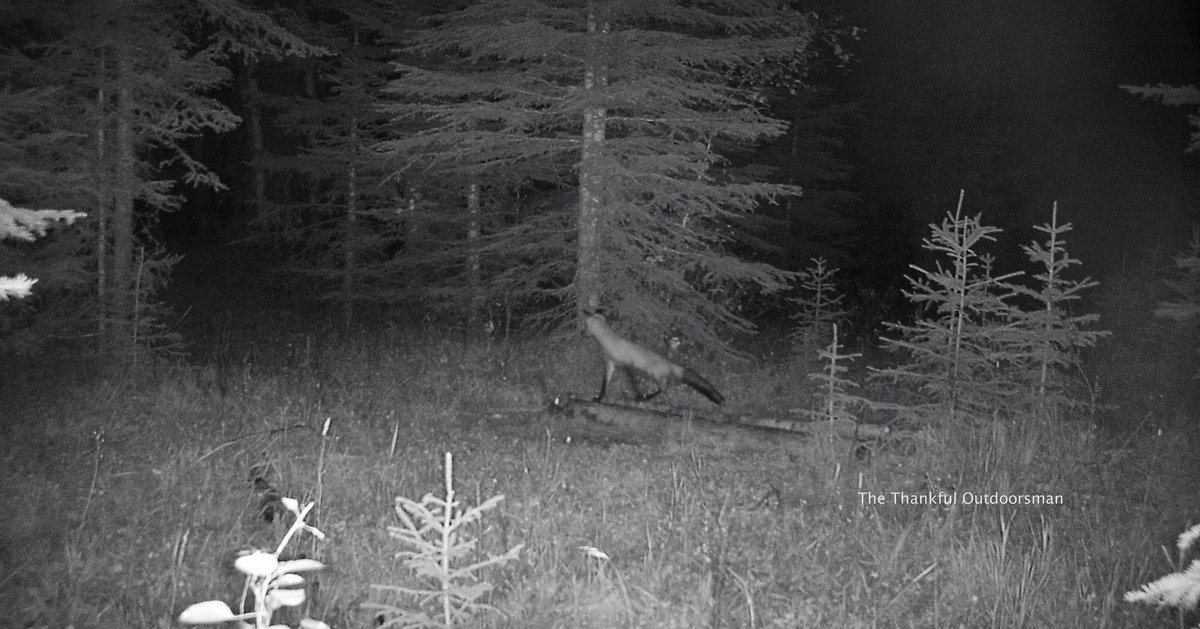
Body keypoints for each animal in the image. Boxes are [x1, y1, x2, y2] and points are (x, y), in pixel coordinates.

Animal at [583, 312, 725, 405]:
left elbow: (634, 383)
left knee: (664, 389)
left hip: (654, 375)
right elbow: (604, 385)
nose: (582, 332)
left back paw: (645, 398)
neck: (610, 343)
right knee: (665, 388)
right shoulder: (610, 364)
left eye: (585, 326)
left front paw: (639, 394)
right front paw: (599, 399)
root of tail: (669, 362)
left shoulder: (628, 364)